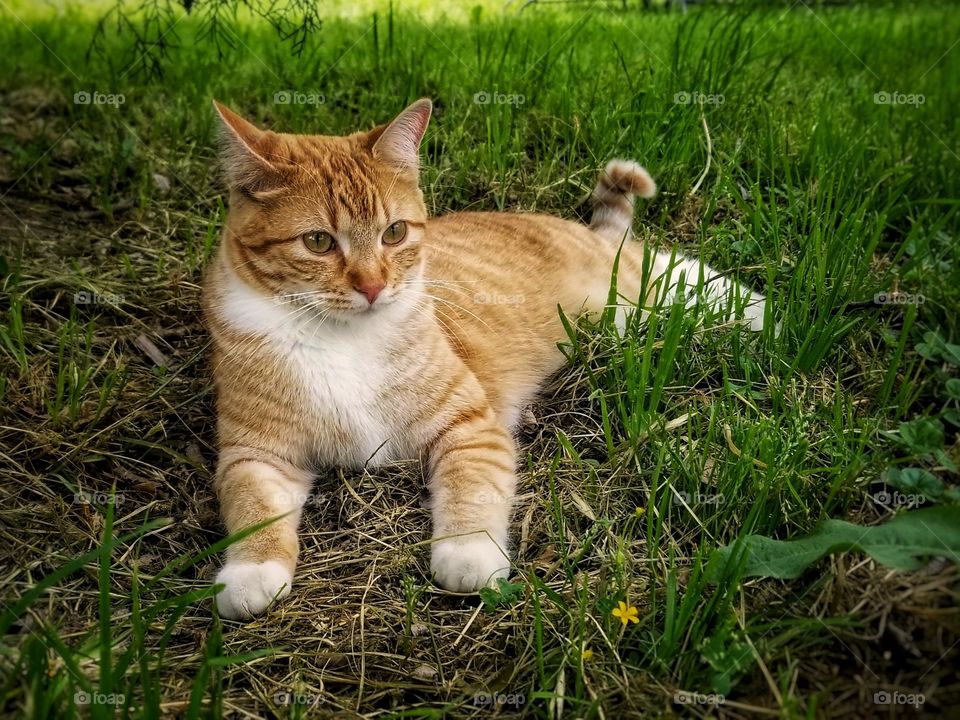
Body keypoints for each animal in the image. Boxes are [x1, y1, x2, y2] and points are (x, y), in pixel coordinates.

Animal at [206, 98, 768, 620]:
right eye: (318, 241)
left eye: (394, 233)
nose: (373, 286)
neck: (340, 339)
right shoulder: (255, 453)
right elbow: (253, 504)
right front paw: (252, 572)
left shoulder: (469, 426)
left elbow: (471, 488)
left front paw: (468, 553)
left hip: (637, 283)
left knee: (686, 272)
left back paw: (767, 314)